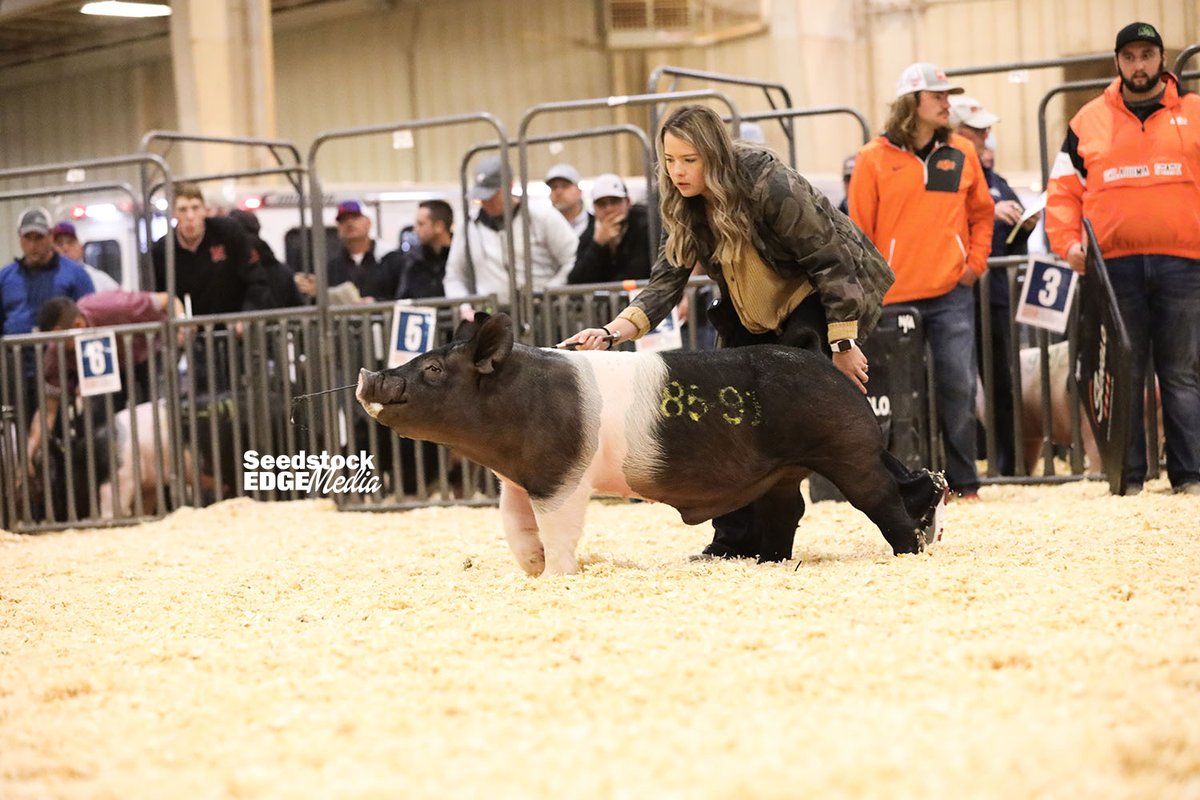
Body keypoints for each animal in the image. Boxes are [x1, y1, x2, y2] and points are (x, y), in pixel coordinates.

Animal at [357, 313, 947, 577]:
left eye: (433, 369)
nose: (367, 375)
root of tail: (828, 365)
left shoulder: (562, 477)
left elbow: (558, 527)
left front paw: (557, 575)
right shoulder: (516, 481)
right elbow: (516, 528)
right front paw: (532, 569)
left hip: (847, 453)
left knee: (883, 497)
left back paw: (911, 552)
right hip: (782, 472)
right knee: (789, 511)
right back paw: (766, 564)